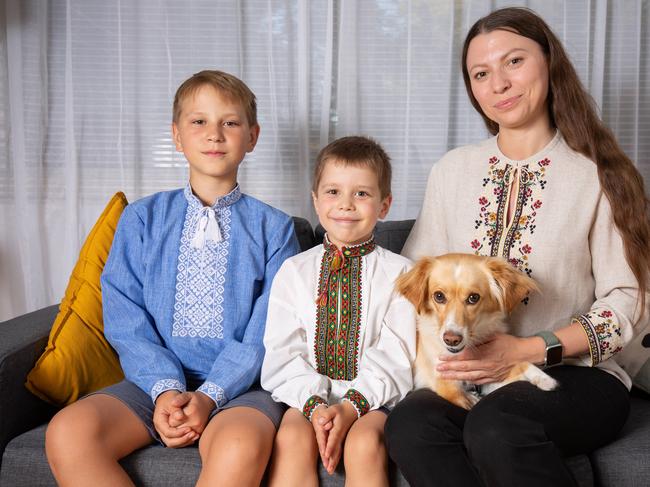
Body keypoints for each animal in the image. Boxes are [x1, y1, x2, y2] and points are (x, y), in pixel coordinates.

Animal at [394, 254, 556, 410]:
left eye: (473, 297)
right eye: (439, 296)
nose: (451, 339)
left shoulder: (488, 378)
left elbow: (521, 364)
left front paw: (544, 378)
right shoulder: (443, 381)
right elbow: (458, 396)